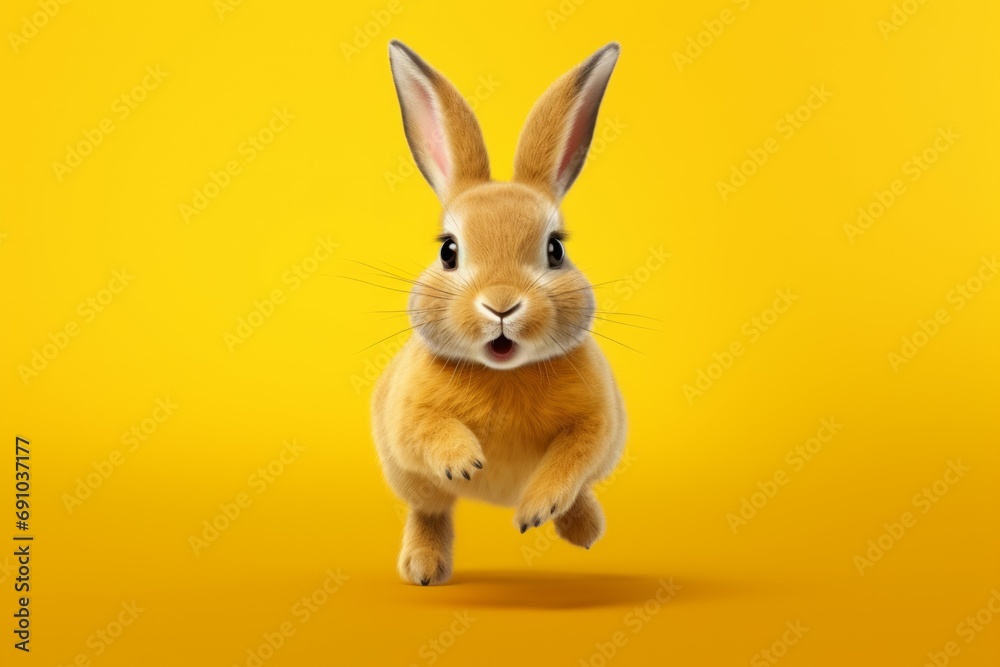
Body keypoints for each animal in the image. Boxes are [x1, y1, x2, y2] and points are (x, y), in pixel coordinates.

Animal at [372, 40, 627, 586]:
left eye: (555, 250)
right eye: (448, 251)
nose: (502, 304)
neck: (504, 373)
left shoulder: (597, 424)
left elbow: (572, 459)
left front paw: (535, 510)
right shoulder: (408, 418)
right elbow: (427, 429)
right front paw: (466, 462)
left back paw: (584, 529)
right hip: (414, 484)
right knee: (430, 509)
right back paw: (423, 569)